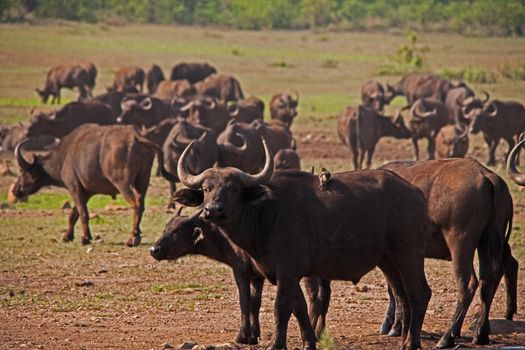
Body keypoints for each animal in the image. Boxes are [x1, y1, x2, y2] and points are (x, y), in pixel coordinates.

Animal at [10, 124, 176, 247]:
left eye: (23, 172)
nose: (15, 190)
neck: (63, 157)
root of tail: (136, 138)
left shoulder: (74, 188)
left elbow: (83, 213)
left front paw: (85, 238)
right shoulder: (86, 192)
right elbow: (74, 214)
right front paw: (67, 236)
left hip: (123, 183)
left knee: (136, 203)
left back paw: (132, 238)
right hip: (143, 180)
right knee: (141, 202)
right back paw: (137, 234)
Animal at [172, 137, 430, 350]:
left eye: (234, 188)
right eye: (206, 189)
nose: (212, 210)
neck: (265, 214)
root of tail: (415, 193)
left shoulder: (287, 270)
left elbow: (281, 307)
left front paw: (276, 344)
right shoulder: (289, 274)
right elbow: (300, 308)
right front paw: (309, 342)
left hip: (408, 255)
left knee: (419, 293)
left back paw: (412, 343)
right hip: (388, 261)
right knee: (403, 298)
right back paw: (404, 340)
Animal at [376, 159, 516, 348]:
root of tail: (487, 176)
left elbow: (395, 290)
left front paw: (394, 326)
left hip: (460, 244)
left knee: (468, 284)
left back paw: (447, 337)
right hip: (488, 242)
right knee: (489, 280)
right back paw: (481, 333)